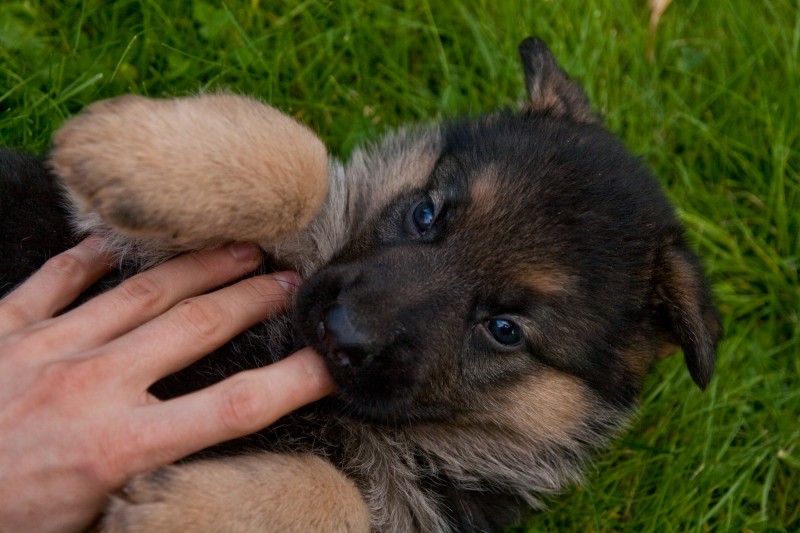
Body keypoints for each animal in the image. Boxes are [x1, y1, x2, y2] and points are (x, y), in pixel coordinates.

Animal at [0, 38, 720, 532]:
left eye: (504, 329)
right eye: (426, 214)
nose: (337, 330)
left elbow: (341, 495)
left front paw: (170, 513)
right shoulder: (122, 243)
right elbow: (306, 163)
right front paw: (125, 153)